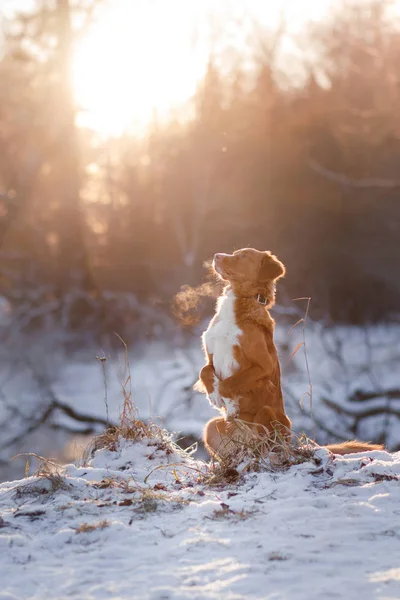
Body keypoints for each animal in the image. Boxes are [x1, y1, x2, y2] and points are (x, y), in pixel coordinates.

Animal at [195, 247, 382, 460]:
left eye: (243, 256)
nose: (216, 256)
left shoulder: (264, 364)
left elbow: (229, 384)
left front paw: (230, 404)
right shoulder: (211, 355)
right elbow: (204, 371)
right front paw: (214, 395)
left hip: (267, 413)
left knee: (269, 444)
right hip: (211, 427)